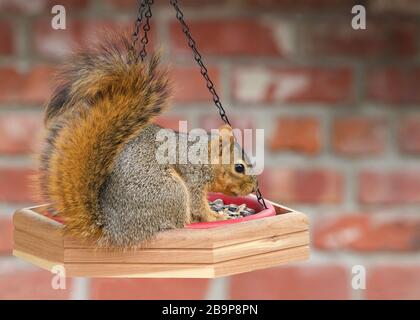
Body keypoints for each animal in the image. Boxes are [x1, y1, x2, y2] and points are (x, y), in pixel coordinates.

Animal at [38, 33, 256, 248]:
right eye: (239, 167)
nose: (253, 188)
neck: (204, 157)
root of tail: (113, 228)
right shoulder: (193, 179)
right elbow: (198, 206)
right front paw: (216, 217)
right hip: (172, 190)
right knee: (179, 222)